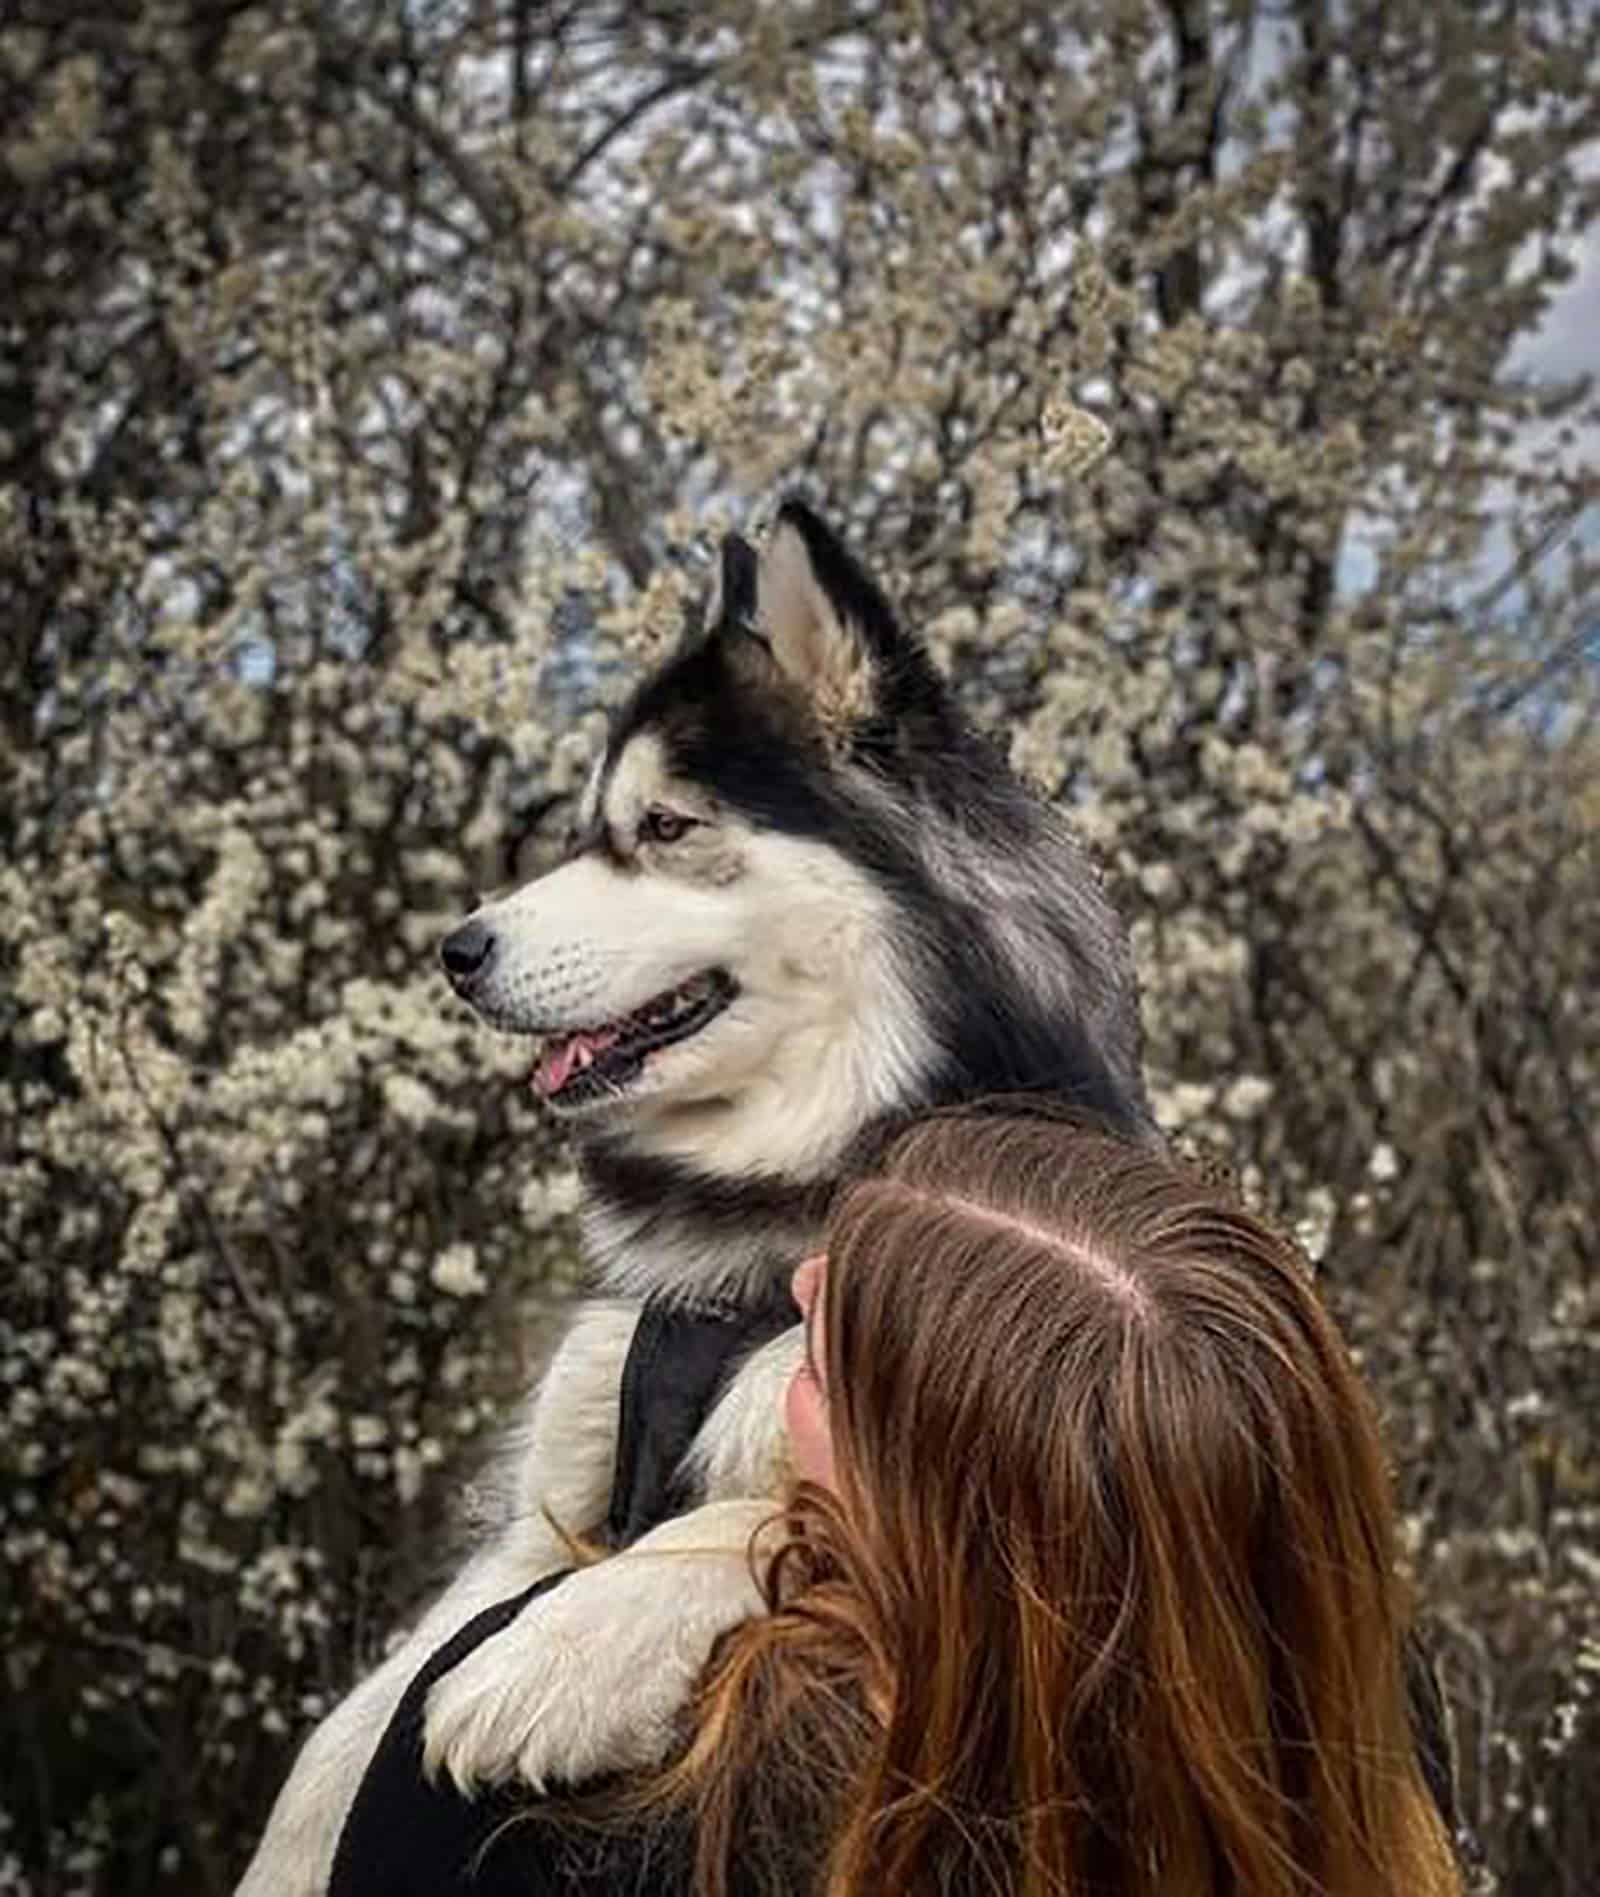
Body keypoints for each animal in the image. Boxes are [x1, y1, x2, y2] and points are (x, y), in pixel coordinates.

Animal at [238, 497, 1153, 1889]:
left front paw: (563, 1651)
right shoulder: (544, 1500)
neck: (754, 1229)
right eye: (585, 830)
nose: (456, 951)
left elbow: (753, 1515)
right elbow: (338, 1740)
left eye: (665, 828)